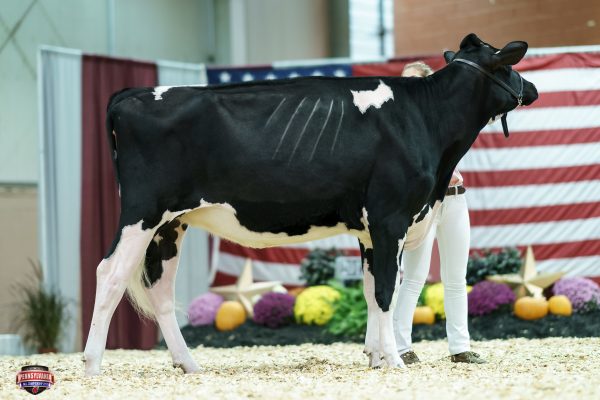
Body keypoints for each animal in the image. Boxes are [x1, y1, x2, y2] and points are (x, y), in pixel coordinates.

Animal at [82, 33, 538, 375]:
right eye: (509, 65)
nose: (532, 88)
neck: (426, 120)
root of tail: (130, 95)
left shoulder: (368, 230)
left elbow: (370, 290)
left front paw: (375, 357)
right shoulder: (390, 218)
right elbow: (386, 291)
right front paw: (393, 360)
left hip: (170, 225)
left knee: (159, 288)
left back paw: (189, 364)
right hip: (141, 213)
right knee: (110, 274)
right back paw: (92, 366)